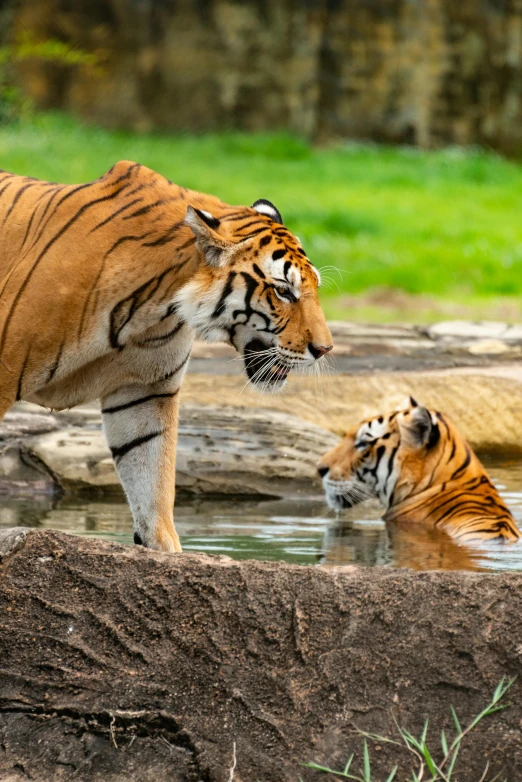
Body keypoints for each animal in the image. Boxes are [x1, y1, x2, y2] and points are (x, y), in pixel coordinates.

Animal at [0, 161, 332, 552]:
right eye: (283, 292)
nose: (325, 349)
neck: (157, 305)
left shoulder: (145, 391)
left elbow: (152, 478)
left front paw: (164, 549)